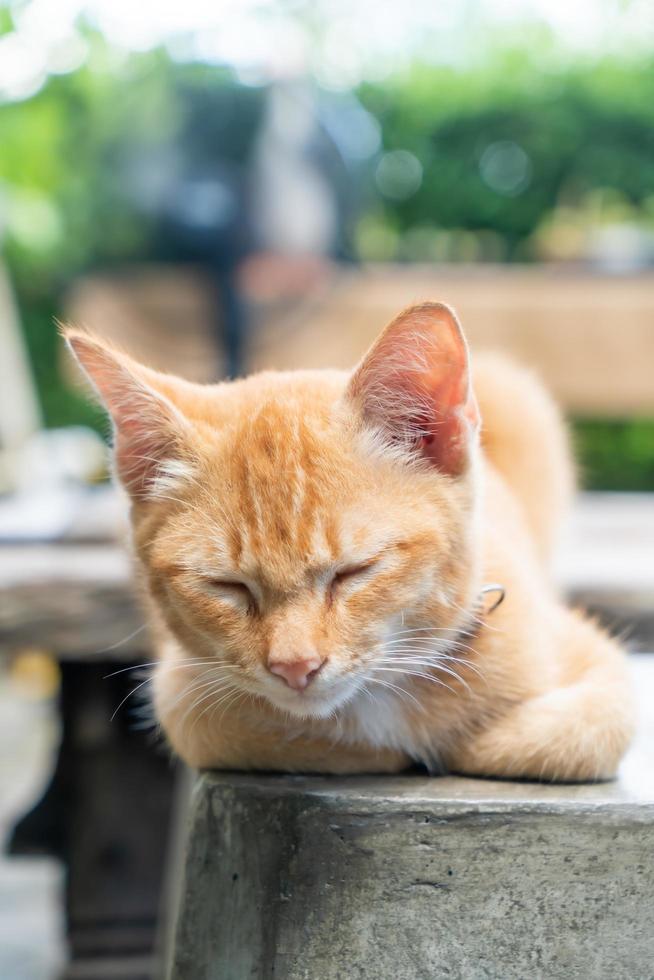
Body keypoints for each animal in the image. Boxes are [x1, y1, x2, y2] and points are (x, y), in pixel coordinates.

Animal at [65, 306, 636, 780]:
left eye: (354, 571)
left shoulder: (593, 661)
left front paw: (470, 743)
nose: (295, 668)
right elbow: (224, 727)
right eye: (228, 586)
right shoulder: (182, 690)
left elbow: (587, 729)